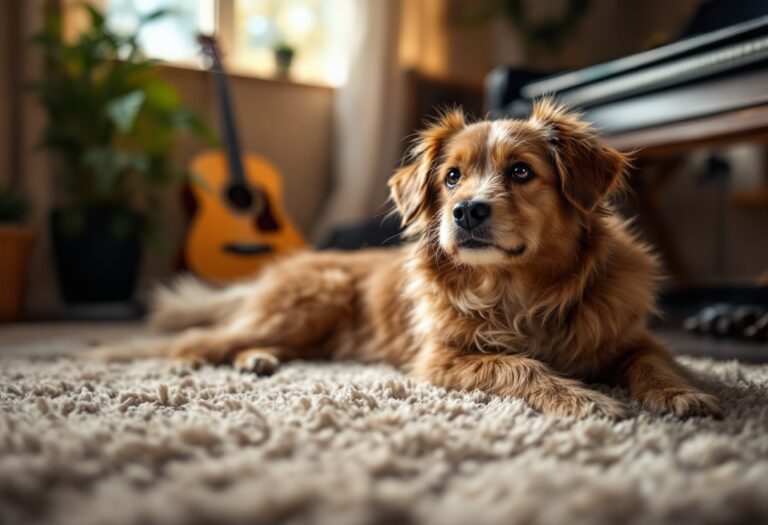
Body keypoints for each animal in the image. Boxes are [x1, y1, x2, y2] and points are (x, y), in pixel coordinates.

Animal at [153, 98, 724, 418]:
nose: (466, 210)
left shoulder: (631, 336)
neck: (518, 290)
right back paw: (199, 361)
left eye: (521, 171)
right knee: (203, 337)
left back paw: (258, 360)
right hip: (313, 300)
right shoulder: (441, 358)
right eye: (451, 177)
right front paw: (582, 398)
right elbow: (518, 366)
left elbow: (654, 361)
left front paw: (682, 394)